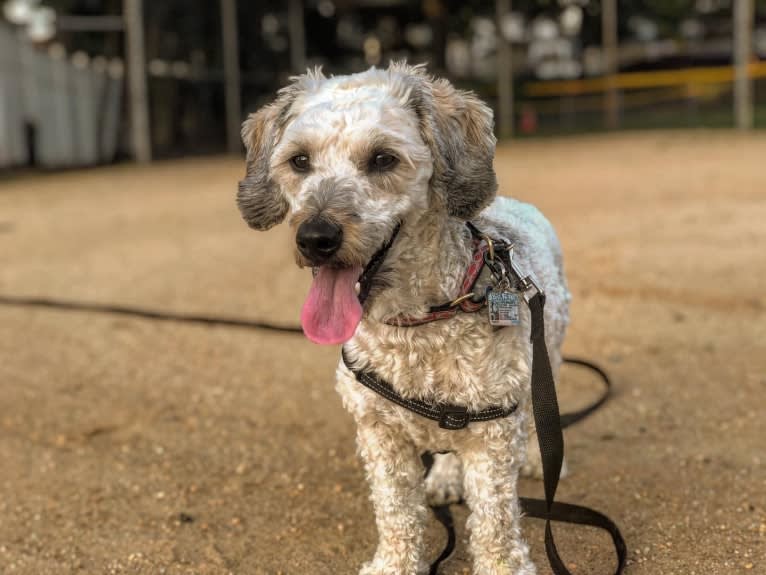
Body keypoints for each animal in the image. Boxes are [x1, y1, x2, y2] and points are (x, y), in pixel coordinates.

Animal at [238, 60, 568, 572]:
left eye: (382, 159)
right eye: (299, 161)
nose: (315, 237)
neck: (419, 323)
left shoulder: (493, 433)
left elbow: (494, 521)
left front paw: (503, 564)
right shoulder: (381, 435)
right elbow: (396, 512)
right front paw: (396, 563)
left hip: (544, 354)